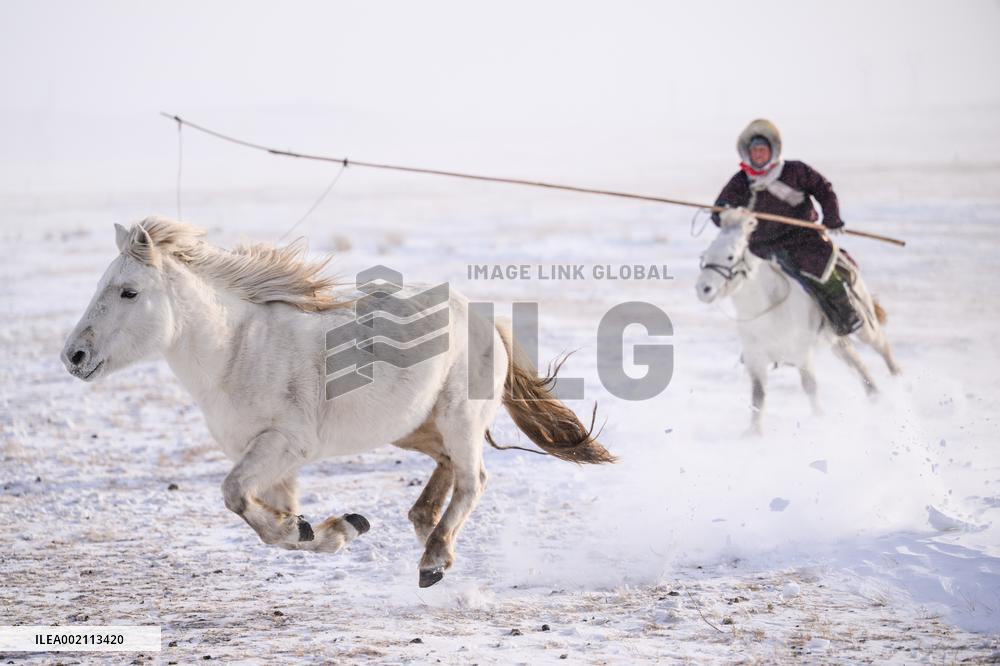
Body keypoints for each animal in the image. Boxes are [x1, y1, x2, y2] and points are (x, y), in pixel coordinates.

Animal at [61, 216, 614, 587]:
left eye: (128, 292)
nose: (73, 355)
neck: (236, 350)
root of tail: (483, 318)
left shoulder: (284, 445)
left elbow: (235, 495)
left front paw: (328, 529)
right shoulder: (275, 464)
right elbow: (272, 525)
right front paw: (331, 529)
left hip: (459, 418)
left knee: (472, 479)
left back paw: (434, 559)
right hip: (412, 427)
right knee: (446, 472)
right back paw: (428, 535)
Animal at [694, 209, 901, 434]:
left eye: (730, 256)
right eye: (705, 254)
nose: (703, 289)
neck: (767, 309)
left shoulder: (802, 354)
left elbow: (810, 386)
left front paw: (819, 418)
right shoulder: (755, 358)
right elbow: (758, 395)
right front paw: (754, 432)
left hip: (864, 323)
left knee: (881, 345)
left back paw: (898, 379)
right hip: (837, 341)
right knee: (856, 361)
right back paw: (875, 395)